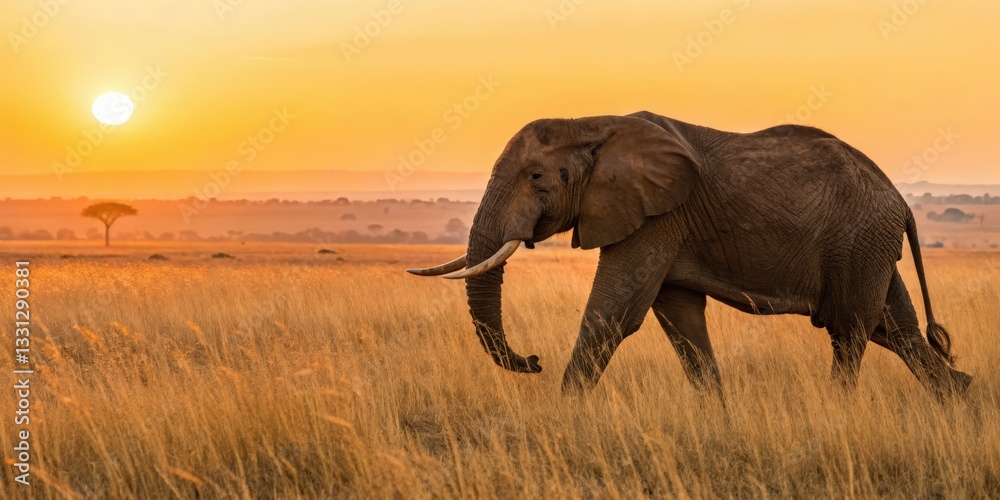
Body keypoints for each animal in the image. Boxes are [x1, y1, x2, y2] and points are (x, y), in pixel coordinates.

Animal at [408, 111, 972, 399]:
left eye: (538, 177)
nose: (533, 360)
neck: (592, 122)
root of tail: (899, 199)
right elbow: (679, 317)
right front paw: (716, 411)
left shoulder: (657, 215)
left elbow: (615, 313)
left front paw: (566, 412)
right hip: (869, 245)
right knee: (893, 328)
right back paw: (960, 397)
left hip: (860, 239)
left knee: (851, 329)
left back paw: (837, 409)